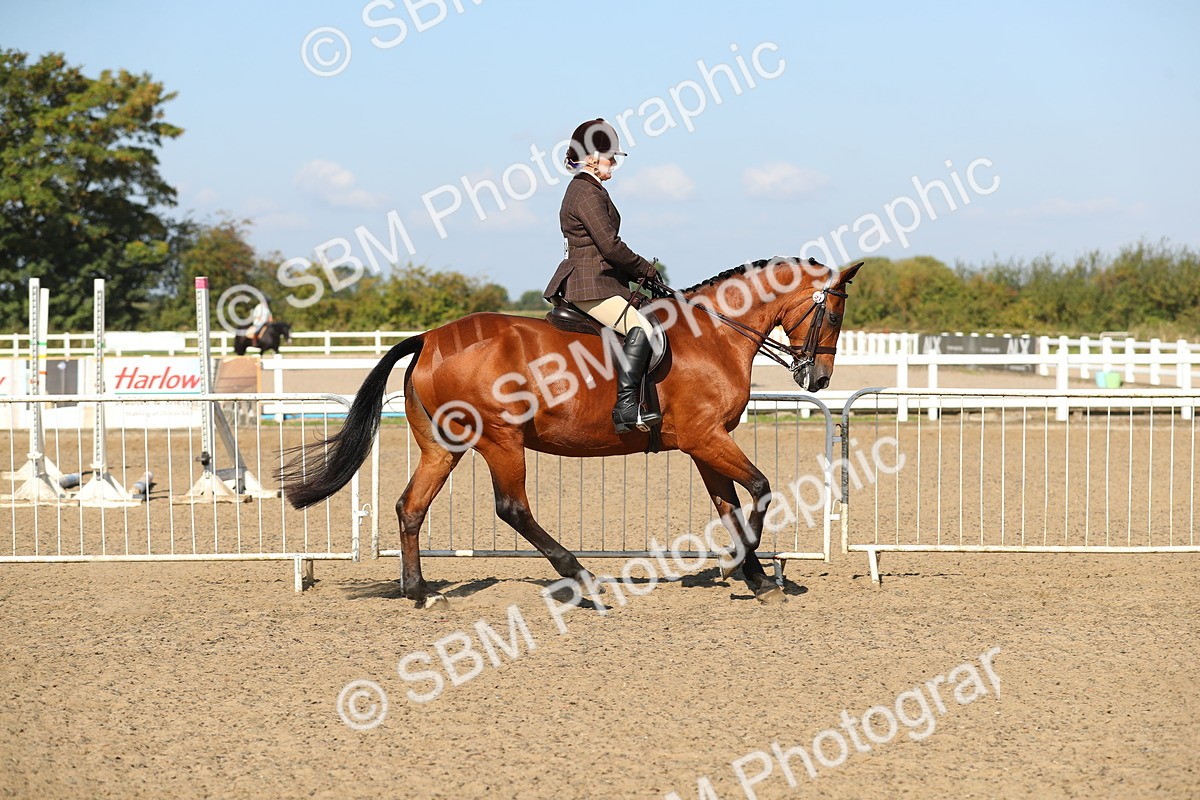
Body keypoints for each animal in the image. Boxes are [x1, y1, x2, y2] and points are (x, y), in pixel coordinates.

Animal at [280, 257, 861, 605]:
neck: (714, 334)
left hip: (444, 446)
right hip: (501, 439)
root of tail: (428, 338)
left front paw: (756, 576)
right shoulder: (707, 439)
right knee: (512, 508)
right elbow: (760, 489)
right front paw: (746, 568)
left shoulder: (704, 444)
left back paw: (419, 591)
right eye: (833, 315)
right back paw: (579, 577)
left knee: (410, 507)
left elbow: (730, 507)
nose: (818, 378)